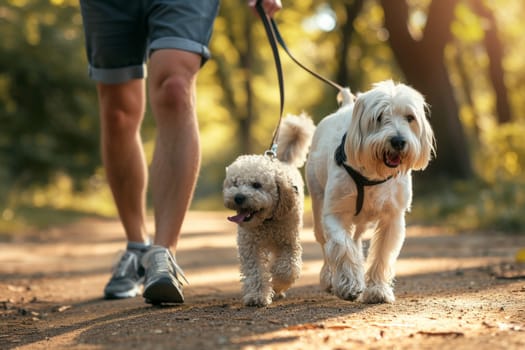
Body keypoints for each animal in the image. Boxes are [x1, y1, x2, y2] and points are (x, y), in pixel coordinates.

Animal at [223, 114, 314, 306]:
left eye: (257, 185)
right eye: (235, 183)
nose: (238, 197)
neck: (267, 221)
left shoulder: (289, 242)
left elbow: (287, 268)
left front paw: (277, 283)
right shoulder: (250, 246)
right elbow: (255, 272)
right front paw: (257, 296)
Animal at [302, 80, 434, 304]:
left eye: (410, 117)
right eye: (379, 116)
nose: (398, 141)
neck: (373, 175)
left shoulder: (393, 218)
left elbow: (382, 254)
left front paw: (377, 290)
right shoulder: (334, 213)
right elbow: (341, 246)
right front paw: (349, 284)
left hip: (362, 223)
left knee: (354, 240)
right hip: (318, 206)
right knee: (326, 244)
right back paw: (329, 277)